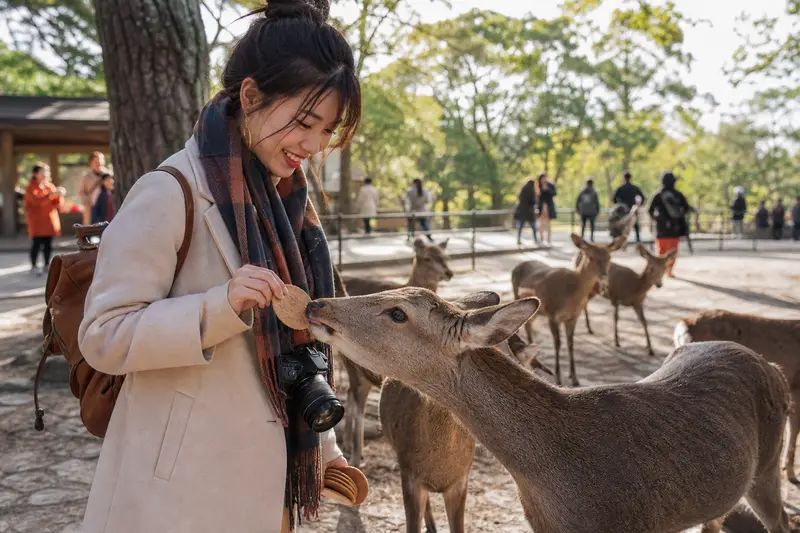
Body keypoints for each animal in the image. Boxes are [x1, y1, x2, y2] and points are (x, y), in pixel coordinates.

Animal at [512, 234, 626, 386]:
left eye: (609, 257)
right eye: (590, 256)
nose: (603, 275)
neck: (570, 298)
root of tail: (517, 266)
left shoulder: (573, 317)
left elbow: (570, 344)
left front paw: (575, 378)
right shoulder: (552, 314)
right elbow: (558, 344)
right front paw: (559, 379)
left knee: (529, 325)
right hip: (518, 296)